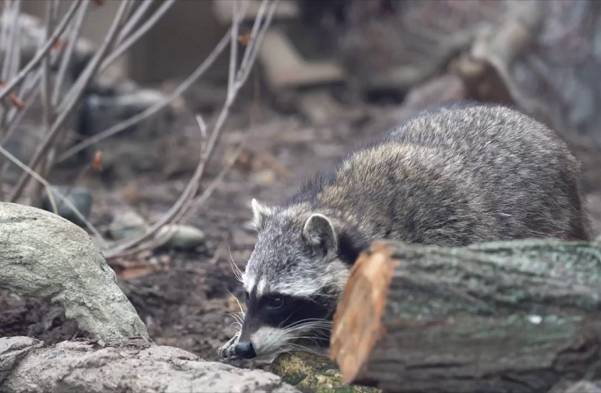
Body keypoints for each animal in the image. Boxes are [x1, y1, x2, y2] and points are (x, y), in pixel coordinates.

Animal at [217, 102, 592, 360]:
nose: (246, 347)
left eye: (278, 300)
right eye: (248, 295)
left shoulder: (447, 231)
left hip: (555, 217)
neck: (347, 210)